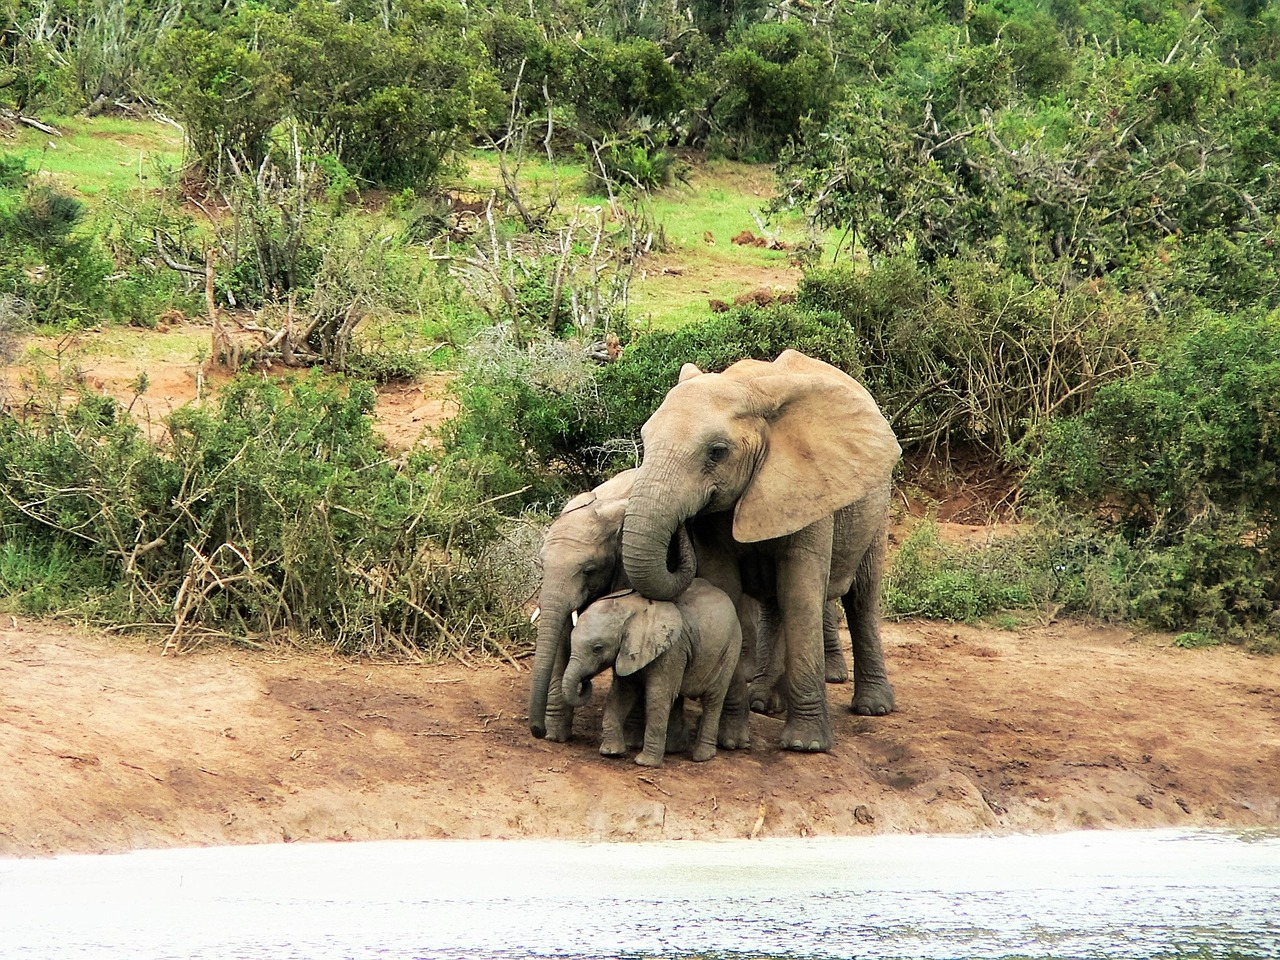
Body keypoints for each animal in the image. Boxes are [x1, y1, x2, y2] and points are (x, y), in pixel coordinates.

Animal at [565, 578, 747, 768]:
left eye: (598, 648)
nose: (585, 681)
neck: (630, 608)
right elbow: (621, 694)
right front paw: (611, 752)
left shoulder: (671, 649)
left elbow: (657, 696)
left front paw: (646, 763)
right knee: (677, 696)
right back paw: (673, 749)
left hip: (730, 649)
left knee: (713, 699)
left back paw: (702, 756)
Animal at [619, 350, 901, 757]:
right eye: (645, 439)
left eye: (717, 452)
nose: (681, 528)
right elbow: (730, 593)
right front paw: (732, 741)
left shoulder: (809, 487)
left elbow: (801, 594)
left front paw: (805, 745)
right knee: (773, 604)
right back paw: (764, 702)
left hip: (875, 503)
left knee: (862, 597)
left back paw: (873, 707)